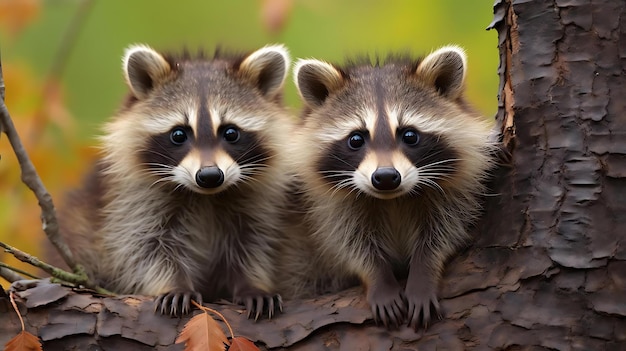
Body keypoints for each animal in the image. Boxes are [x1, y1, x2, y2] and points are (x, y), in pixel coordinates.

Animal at [57, 44, 292, 320]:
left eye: (231, 132)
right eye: (179, 134)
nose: (209, 176)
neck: (206, 197)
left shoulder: (257, 201)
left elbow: (254, 242)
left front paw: (252, 284)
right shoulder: (132, 201)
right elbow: (144, 247)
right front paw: (174, 284)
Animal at [286, 46, 492, 330]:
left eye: (409, 135)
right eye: (356, 139)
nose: (385, 177)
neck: (392, 199)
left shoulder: (458, 188)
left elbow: (446, 229)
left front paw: (424, 272)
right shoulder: (328, 204)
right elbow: (349, 242)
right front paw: (379, 279)